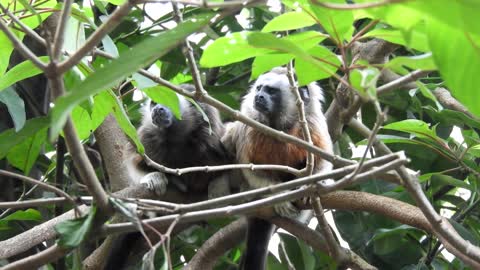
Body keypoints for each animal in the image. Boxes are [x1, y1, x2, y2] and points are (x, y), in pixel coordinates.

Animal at [222, 67, 332, 270]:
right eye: (259, 88)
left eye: (271, 91)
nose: (259, 97)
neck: (281, 124)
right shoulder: (249, 121)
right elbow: (250, 168)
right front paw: (279, 197)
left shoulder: (313, 122)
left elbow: (323, 162)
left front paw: (309, 188)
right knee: (229, 137)